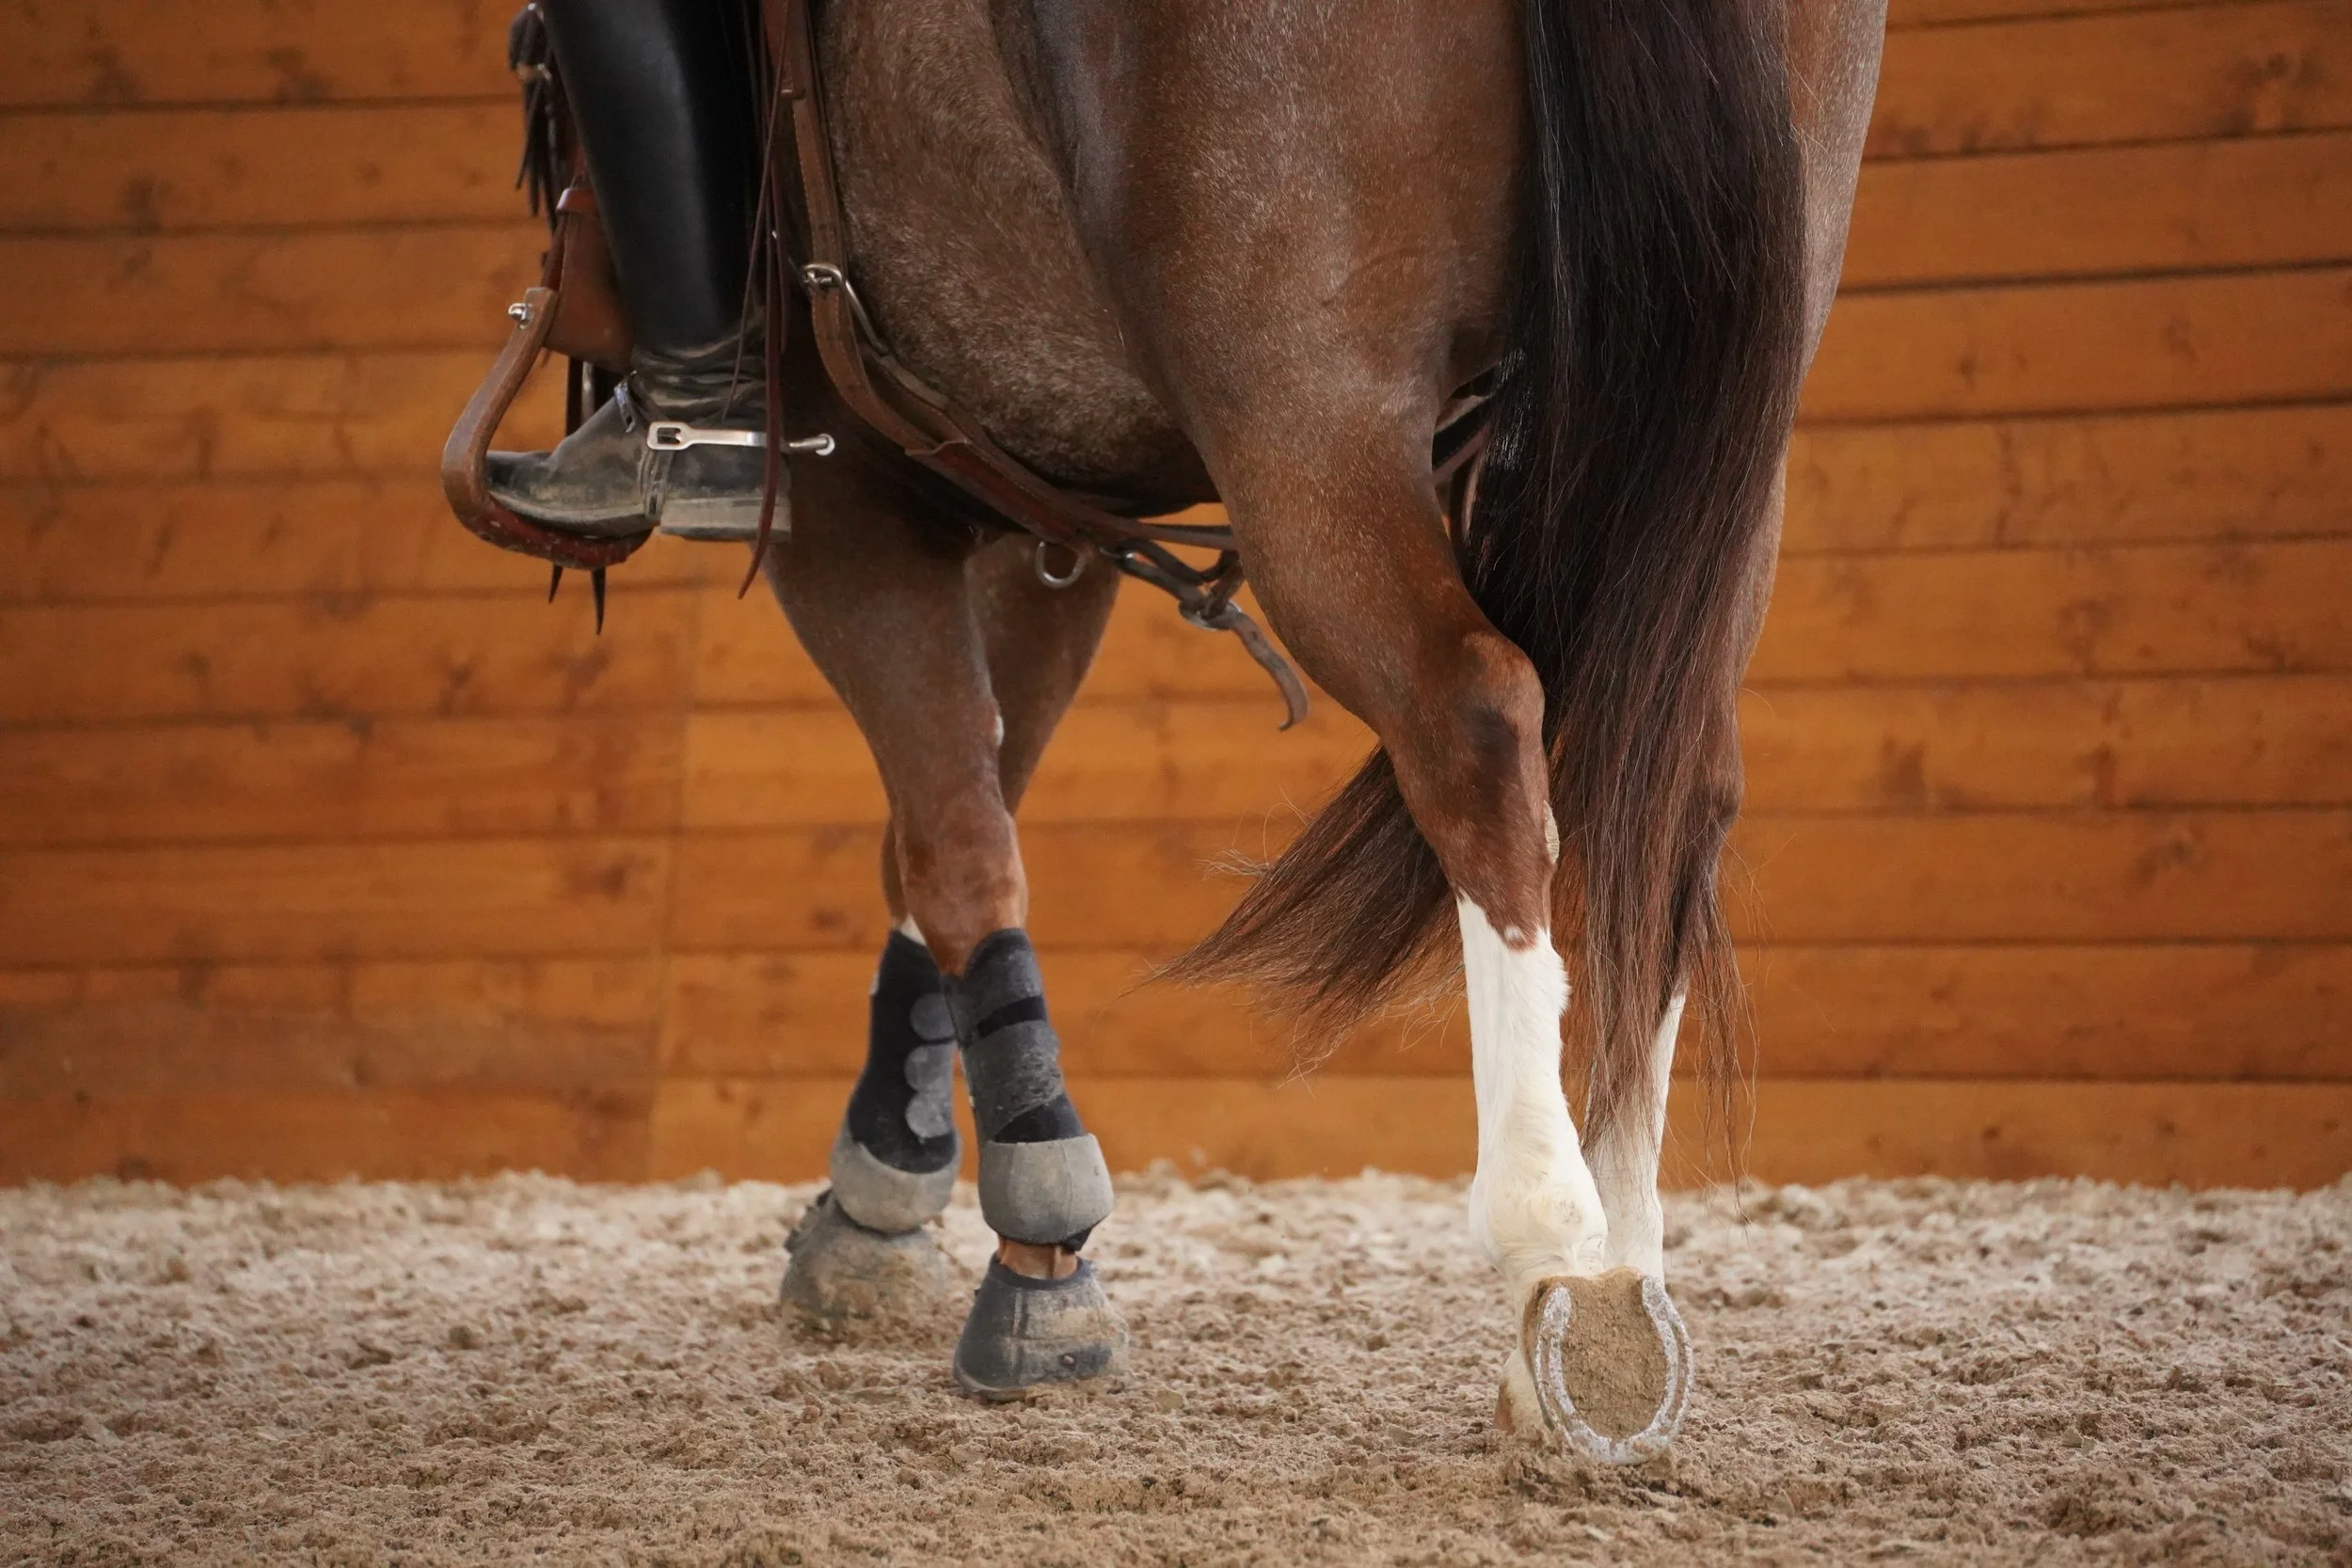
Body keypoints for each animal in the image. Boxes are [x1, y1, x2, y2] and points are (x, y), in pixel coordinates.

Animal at [504, 0, 1887, 1460]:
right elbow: (961, 812)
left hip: (1310, 425)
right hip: (1712, 436)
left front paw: (1031, 1245)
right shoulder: (1042, 514)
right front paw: (889, 1184)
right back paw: (1624, 1275)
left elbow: (953, 839)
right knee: (1670, 785)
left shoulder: (846, 505)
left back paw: (1554, 1251)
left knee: (1474, 720)